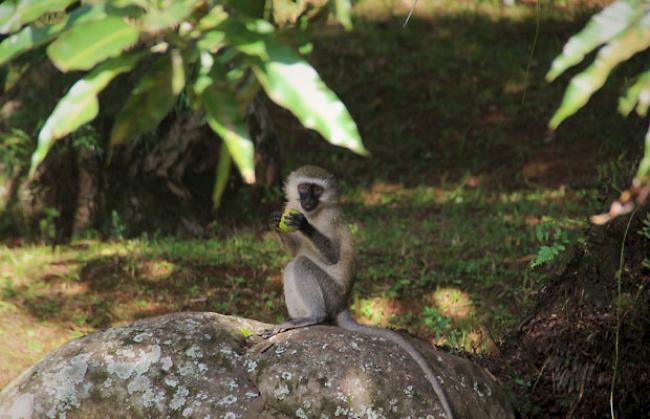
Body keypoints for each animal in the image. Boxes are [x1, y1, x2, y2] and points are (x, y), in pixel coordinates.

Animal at [260, 166, 454, 418]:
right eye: (303, 188)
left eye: (316, 190)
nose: (308, 200)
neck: (314, 213)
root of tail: (343, 302)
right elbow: (292, 250)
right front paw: (274, 221)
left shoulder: (332, 218)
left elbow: (332, 255)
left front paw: (304, 226)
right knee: (292, 264)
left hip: (331, 293)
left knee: (300, 264)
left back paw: (311, 318)